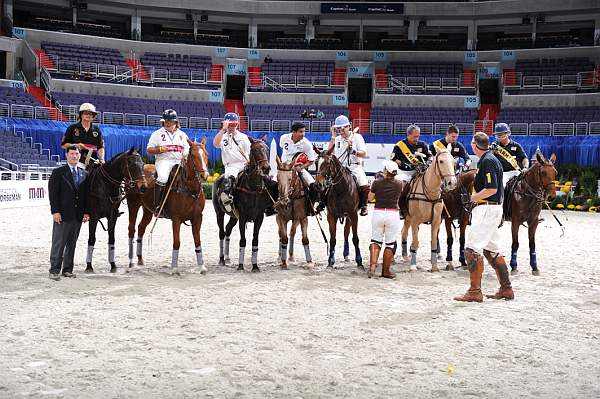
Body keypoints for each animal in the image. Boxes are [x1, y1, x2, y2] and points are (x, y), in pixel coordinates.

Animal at [84, 147, 147, 276]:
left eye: (143, 164)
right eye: (132, 165)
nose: (143, 187)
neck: (106, 186)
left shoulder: (112, 216)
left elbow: (111, 238)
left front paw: (113, 265)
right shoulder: (94, 217)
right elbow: (92, 239)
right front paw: (89, 266)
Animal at [126, 139, 209, 274]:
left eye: (206, 154)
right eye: (193, 155)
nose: (204, 176)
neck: (190, 189)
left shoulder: (197, 218)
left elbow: (198, 241)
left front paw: (201, 266)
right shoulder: (176, 219)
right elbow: (177, 242)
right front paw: (174, 268)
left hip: (148, 211)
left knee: (141, 227)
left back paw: (140, 259)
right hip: (133, 205)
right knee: (131, 229)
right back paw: (131, 261)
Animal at [212, 137, 276, 272]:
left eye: (267, 149)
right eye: (254, 150)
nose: (266, 168)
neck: (253, 187)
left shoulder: (259, 218)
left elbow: (255, 241)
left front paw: (255, 266)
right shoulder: (242, 217)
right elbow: (243, 240)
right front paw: (240, 266)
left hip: (233, 216)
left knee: (228, 229)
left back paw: (227, 258)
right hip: (219, 213)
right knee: (221, 232)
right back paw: (221, 259)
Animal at [400, 145, 458, 274]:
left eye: (453, 162)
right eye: (441, 161)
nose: (451, 183)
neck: (430, 194)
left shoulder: (436, 221)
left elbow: (434, 242)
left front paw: (434, 266)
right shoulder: (415, 220)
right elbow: (415, 242)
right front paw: (413, 266)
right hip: (408, 218)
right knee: (404, 233)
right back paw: (405, 256)